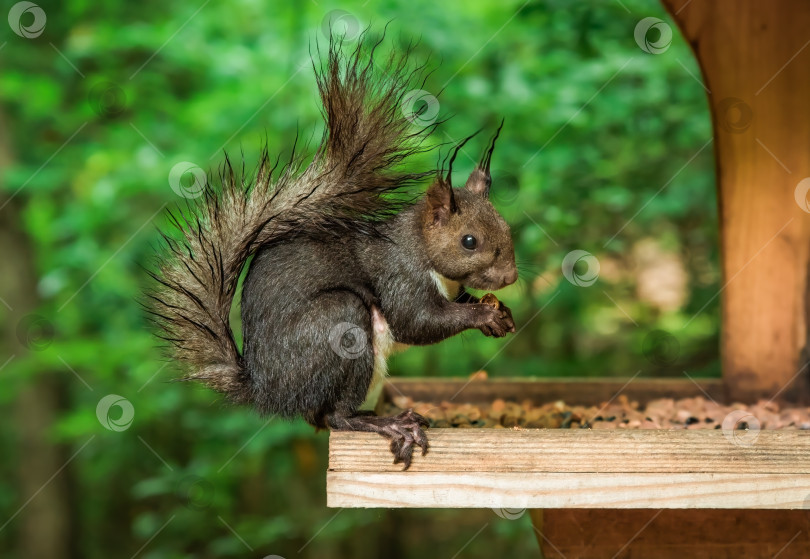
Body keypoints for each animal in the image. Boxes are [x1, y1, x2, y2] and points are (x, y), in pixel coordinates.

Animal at [148, 31, 516, 468]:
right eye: (469, 241)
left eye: (506, 227)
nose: (510, 276)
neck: (425, 252)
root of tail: (267, 390)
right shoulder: (399, 275)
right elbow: (417, 322)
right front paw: (482, 315)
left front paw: (499, 312)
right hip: (339, 325)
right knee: (336, 417)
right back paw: (388, 424)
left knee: (322, 418)